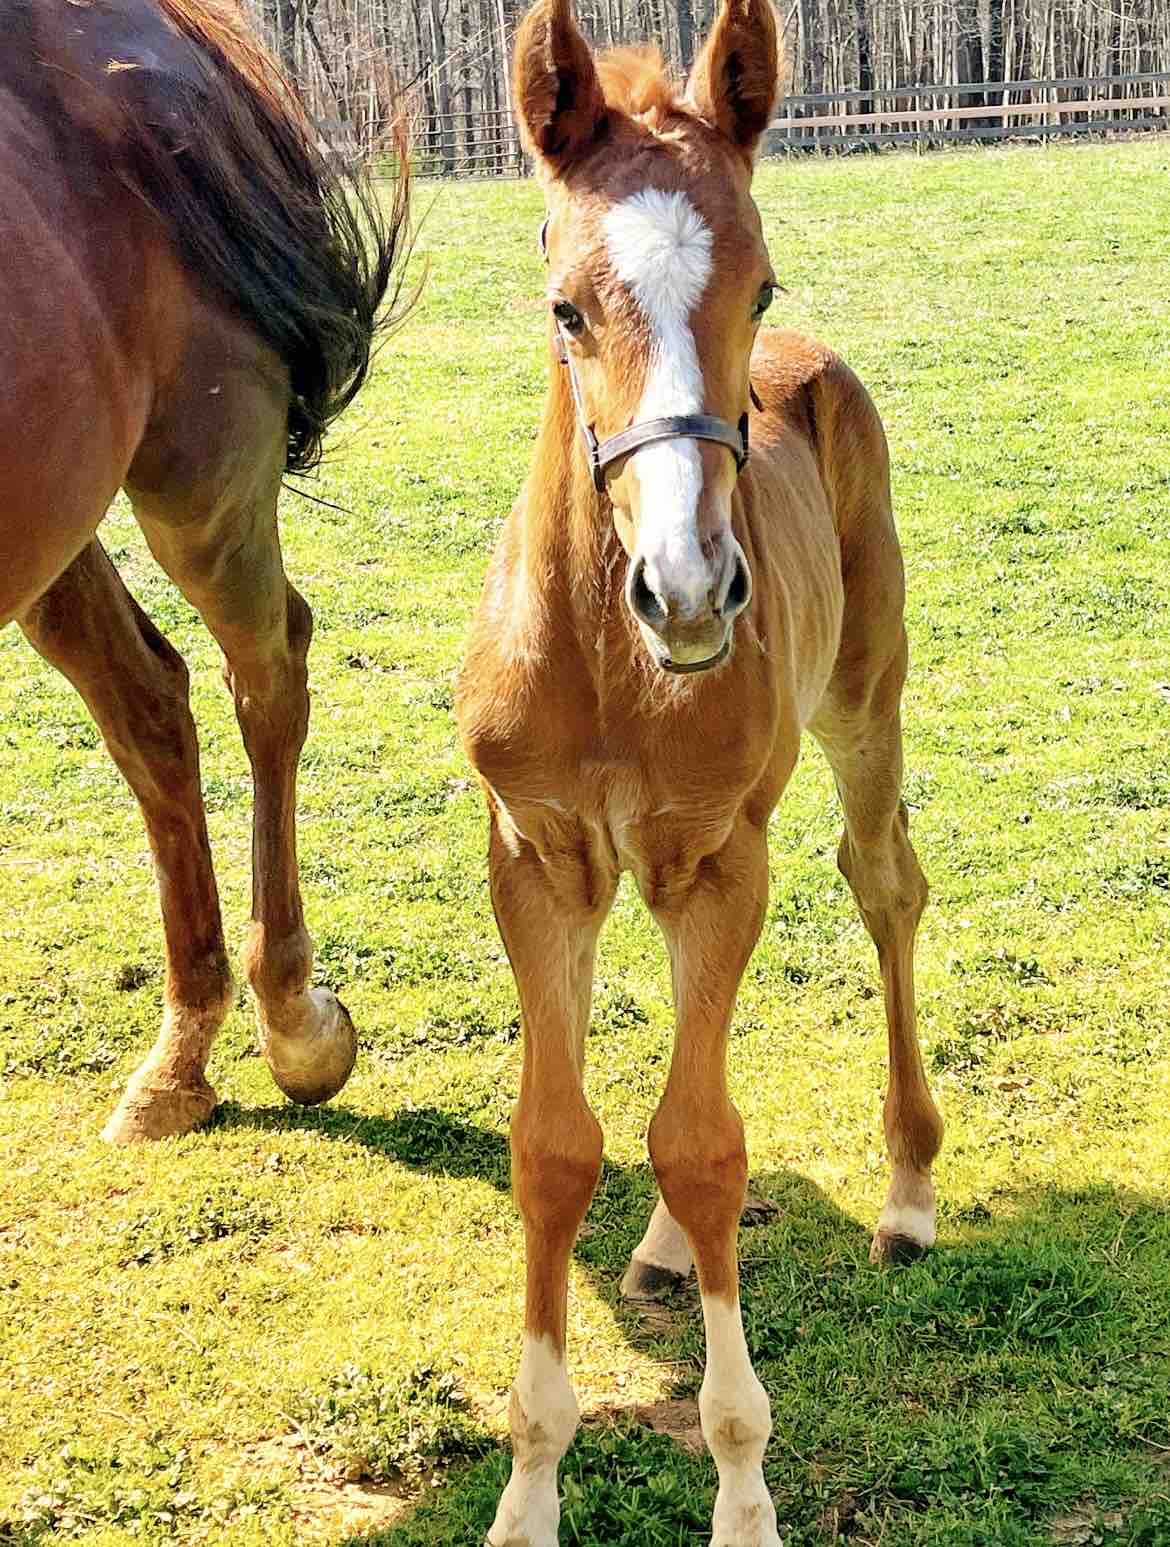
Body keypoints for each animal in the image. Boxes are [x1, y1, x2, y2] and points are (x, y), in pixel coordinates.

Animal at [1, 3, 405, 1150]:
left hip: (200, 477)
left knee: (267, 670)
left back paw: (294, 1022)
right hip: (56, 512)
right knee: (150, 700)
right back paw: (178, 1062)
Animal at [451, 3, 947, 1547]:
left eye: (758, 276)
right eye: (564, 305)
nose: (686, 590)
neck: (614, 664)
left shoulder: (721, 850)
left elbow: (707, 1142)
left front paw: (741, 1484)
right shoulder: (540, 856)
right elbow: (561, 1145)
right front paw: (528, 1488)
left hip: (861, 703)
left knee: (883, 884)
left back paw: (908, 1187)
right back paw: (671, 1246)